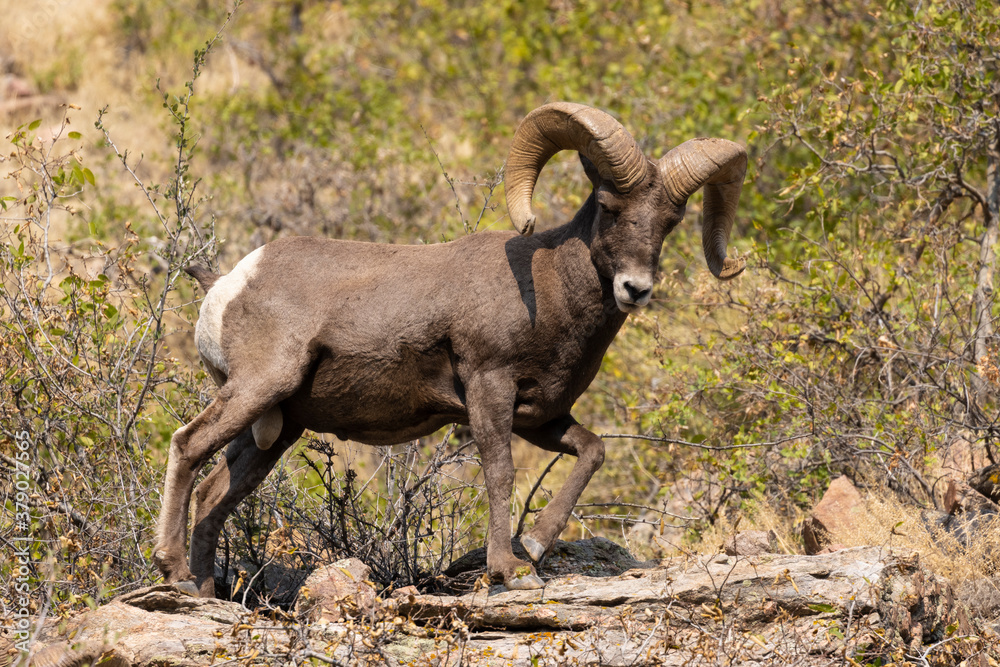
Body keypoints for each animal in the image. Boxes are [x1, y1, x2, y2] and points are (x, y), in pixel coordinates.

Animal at [156, 103, 748, 596]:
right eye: (608, 206)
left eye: (671, 221)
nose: (635, 289)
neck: (549, 291)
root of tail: (228, 283)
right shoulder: (489, 389)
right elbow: (500, 473)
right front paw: (510, 571)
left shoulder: (540, 417)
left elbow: (592, 451)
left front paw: (535, 546)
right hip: (259, 388)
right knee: (187, 445)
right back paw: (172, 569)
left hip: (277, 428)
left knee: (214, 494)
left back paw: (202, 592)